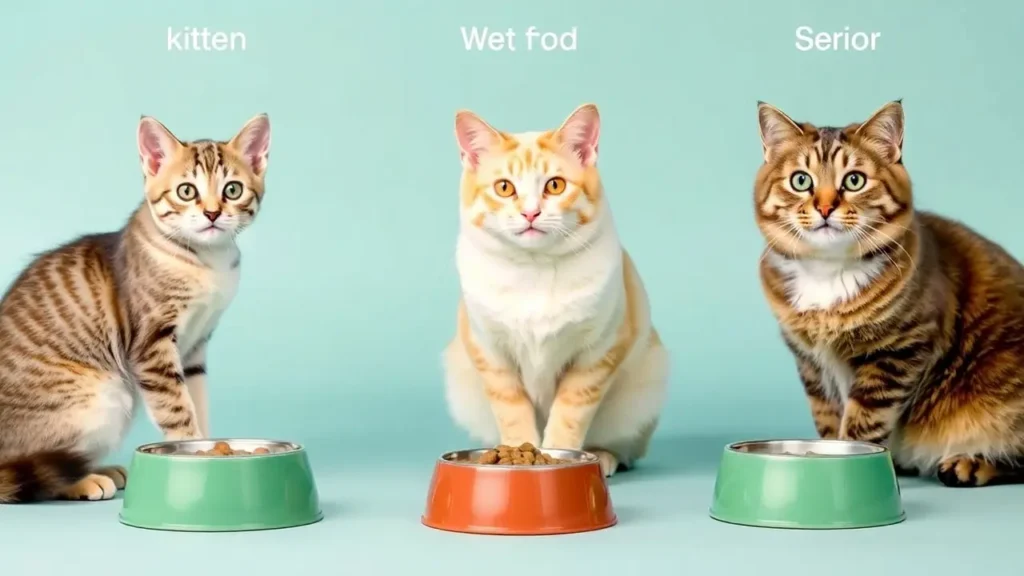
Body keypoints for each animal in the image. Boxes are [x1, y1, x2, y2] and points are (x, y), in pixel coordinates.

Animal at [0, 114, 272, 500]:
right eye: (186, 191)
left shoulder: (196, 347)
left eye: (232, 190)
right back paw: (84, 480)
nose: (212, 213)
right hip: (101, 397)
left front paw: (209, 446)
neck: (208, 261)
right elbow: (178, 408)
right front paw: (191, 451)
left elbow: (197, 401)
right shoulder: (151, 344)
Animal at [442, 103, 667, 475]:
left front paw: (560, 457)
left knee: (627, 447)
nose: (530, 213)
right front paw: (518, 453)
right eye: (504, 188)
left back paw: (605, 455)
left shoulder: (598, 353)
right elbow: (512, 412)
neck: (535, 270)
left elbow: (569, 414)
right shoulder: (491, 354)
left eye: (556, 185)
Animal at [753, 99, 1024, 483]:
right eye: (801, 180)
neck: (828, 272)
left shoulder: (898, 352)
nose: (825, 207)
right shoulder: (811, 365)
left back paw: (969, 463)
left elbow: (863, 422)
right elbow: (828, 420)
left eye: (854, 180)